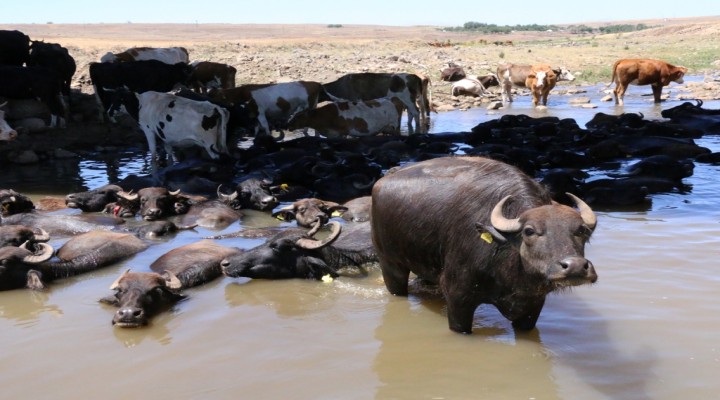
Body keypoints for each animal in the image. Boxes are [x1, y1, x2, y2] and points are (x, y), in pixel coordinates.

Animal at [368, 158, 600, 332]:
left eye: (582, 231)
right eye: (529, 231)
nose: (575, 266)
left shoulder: (533, 306)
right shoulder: (458, 299)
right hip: (390, 265)